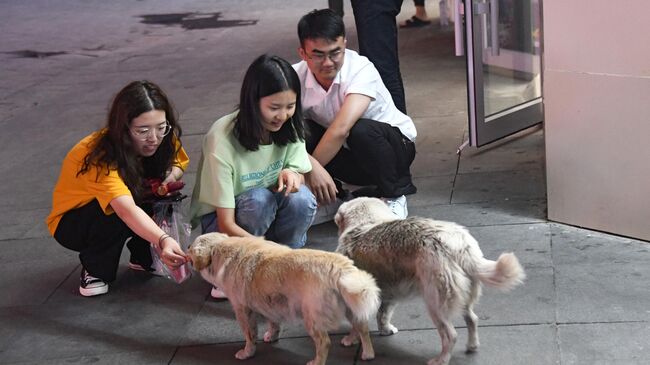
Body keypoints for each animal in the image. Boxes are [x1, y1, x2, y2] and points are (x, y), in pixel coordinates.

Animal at [187, 232, 380, 364]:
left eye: (190, 247)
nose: (186, 247)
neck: (221, 249)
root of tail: (339, 268)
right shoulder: (270, 304)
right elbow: (273, 324)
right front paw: (272, 336)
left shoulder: (242, 310)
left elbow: (250, 336)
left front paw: (247, 353)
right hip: (351, 306)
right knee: (362, 328)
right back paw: (363, 350)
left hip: (312, 319)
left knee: (324, 343)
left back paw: (317, 362)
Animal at [332, 198, 524, 364]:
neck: (365, 224)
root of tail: (459, 246)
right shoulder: (390, 295)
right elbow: (383, 315)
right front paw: (385, 330)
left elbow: (357, 325)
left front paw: (350, 339)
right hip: (461, 298)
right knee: (472, 319)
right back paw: (472, 346)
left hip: (435, 304)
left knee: (451, 335)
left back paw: (441, 360)